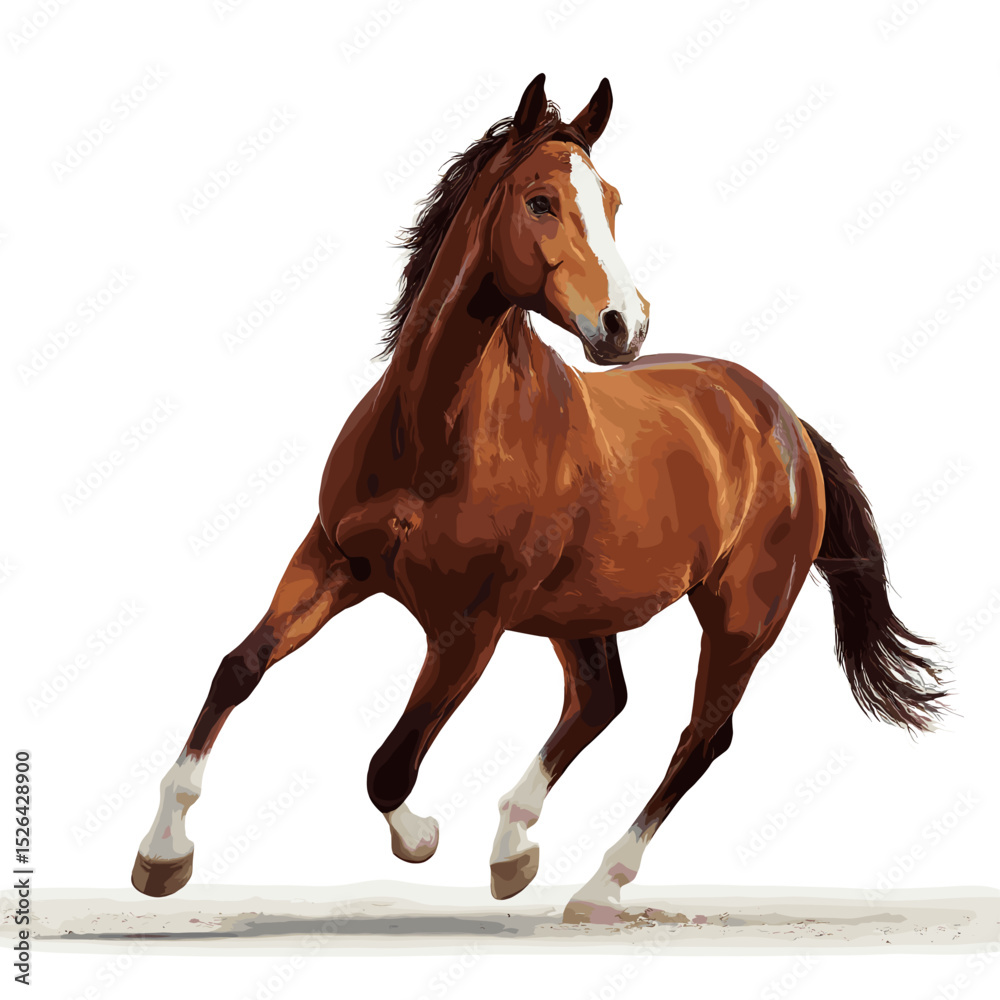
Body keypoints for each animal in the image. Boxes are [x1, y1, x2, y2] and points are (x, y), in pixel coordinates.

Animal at [131, 74, 947, 924]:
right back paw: (514, 849)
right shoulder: (332, 560)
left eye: (612, 200)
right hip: (583, 609)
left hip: (741, 617)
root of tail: (783, 420)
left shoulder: (471, 624)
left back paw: (596, 885)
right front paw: (162, 855)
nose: (625, 325)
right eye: (541, 201)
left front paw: (421, 838)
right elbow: (237, 669)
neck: (434, 433)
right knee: (602, 700)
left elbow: (390, 765)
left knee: (700, 737)